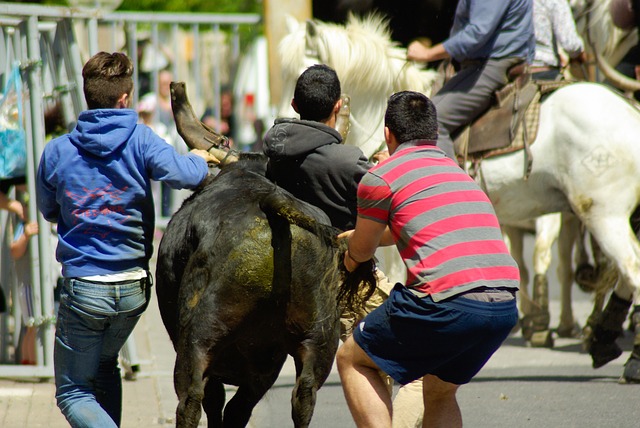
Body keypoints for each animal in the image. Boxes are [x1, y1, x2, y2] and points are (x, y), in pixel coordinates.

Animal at [155, 152, 376, 426]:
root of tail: (270, 201)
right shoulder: (268, 363)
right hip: (318, 337)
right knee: (303, 394)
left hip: (199, 336)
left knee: (193, 399)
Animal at [282, 14, 640, 382]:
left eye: (298, 71)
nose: (287, 119)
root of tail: (629, 113)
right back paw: (602, 338)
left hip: (602, 214)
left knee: (630, 269)